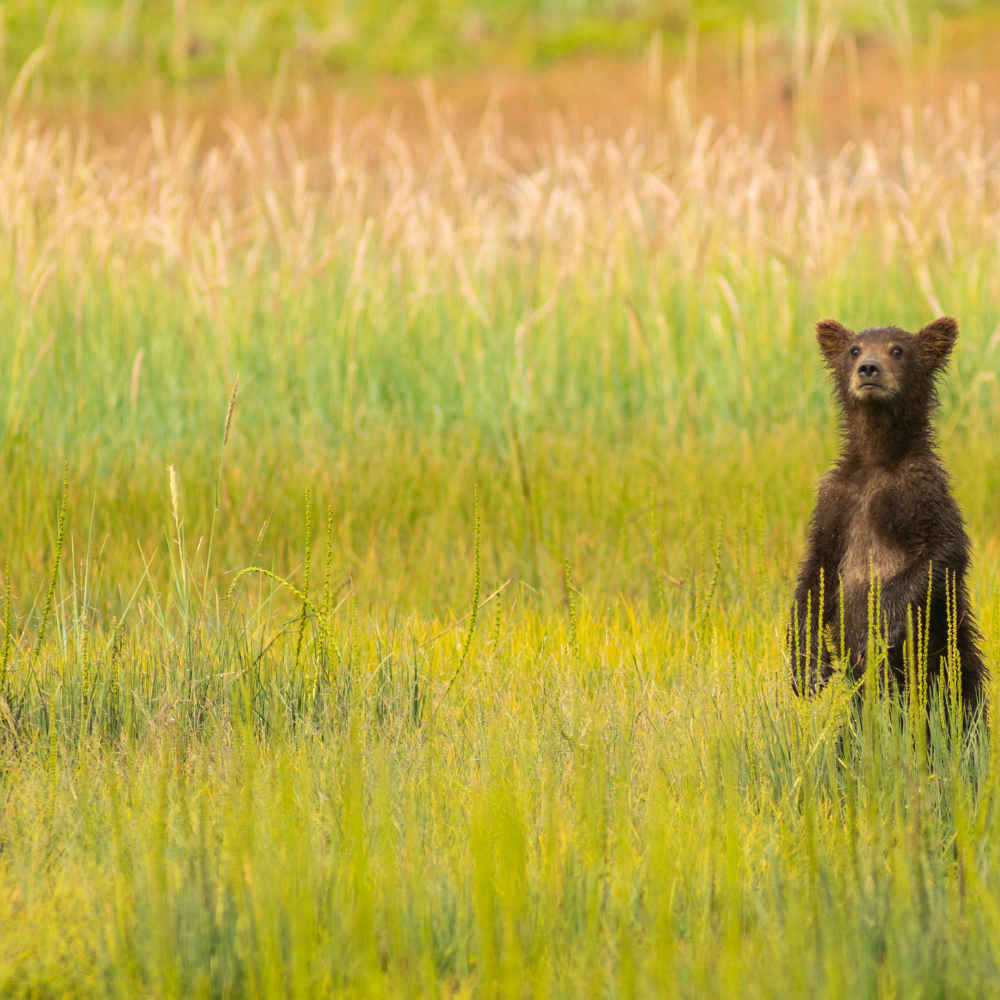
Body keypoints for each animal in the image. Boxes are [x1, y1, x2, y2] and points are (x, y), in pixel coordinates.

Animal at [789, 316, 985, 718]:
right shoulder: (836, 502)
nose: (869, 368)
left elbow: (942, 552)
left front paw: (876, 625)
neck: (878, 458)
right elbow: (816, 571)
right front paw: (809, 669)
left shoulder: (922, 493)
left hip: (950, 660)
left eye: (898, 349)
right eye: (854, 349)